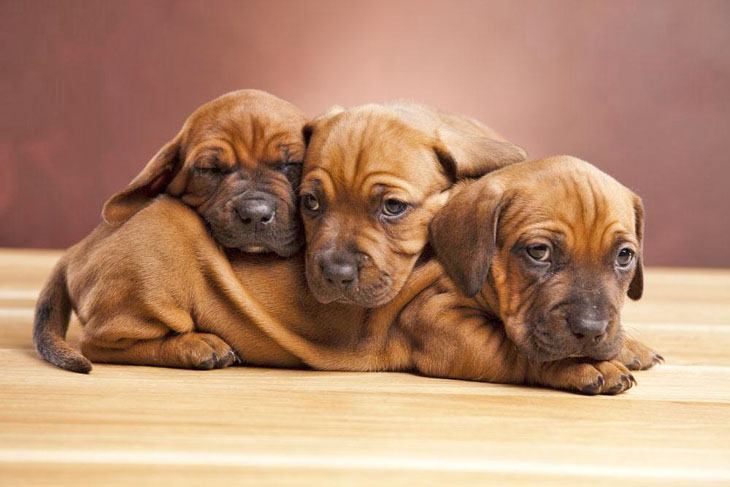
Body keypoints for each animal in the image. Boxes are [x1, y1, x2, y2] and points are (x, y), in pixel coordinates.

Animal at [32, 90, 306, 374]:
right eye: (210, 170)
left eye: (291, 164)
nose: (254, 214)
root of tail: (74, 251)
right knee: (96, 344)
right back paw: (196, 345)